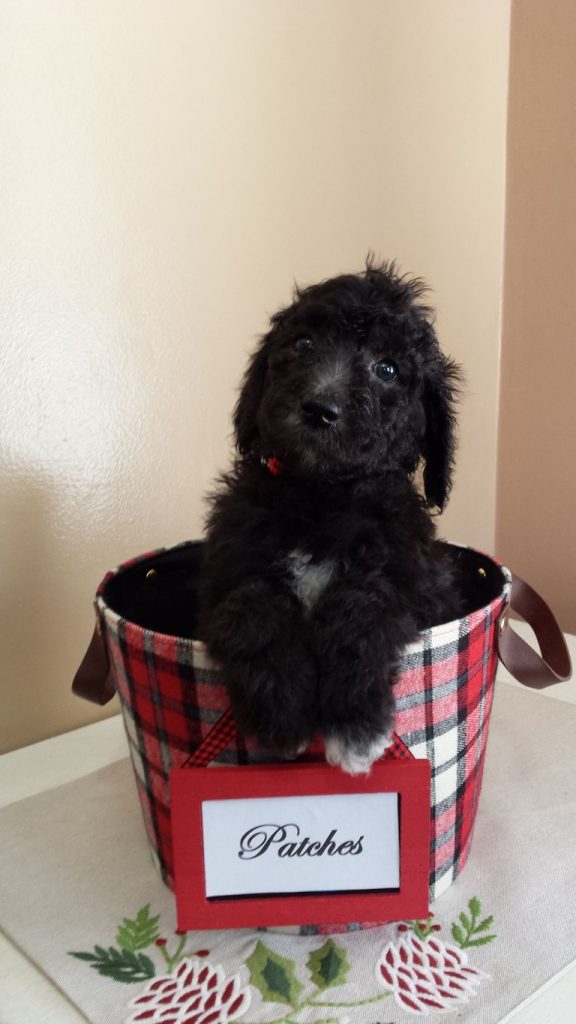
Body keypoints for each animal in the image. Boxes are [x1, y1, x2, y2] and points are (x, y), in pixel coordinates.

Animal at [199, 260, 459, 770]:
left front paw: (355, 723)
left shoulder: (419, 586)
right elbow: (252, 605)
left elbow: (361, 603)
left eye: (387, 369)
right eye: (303, 344)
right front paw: (281, 714)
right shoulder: (225, 577)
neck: (322, 498)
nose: (320, 409)